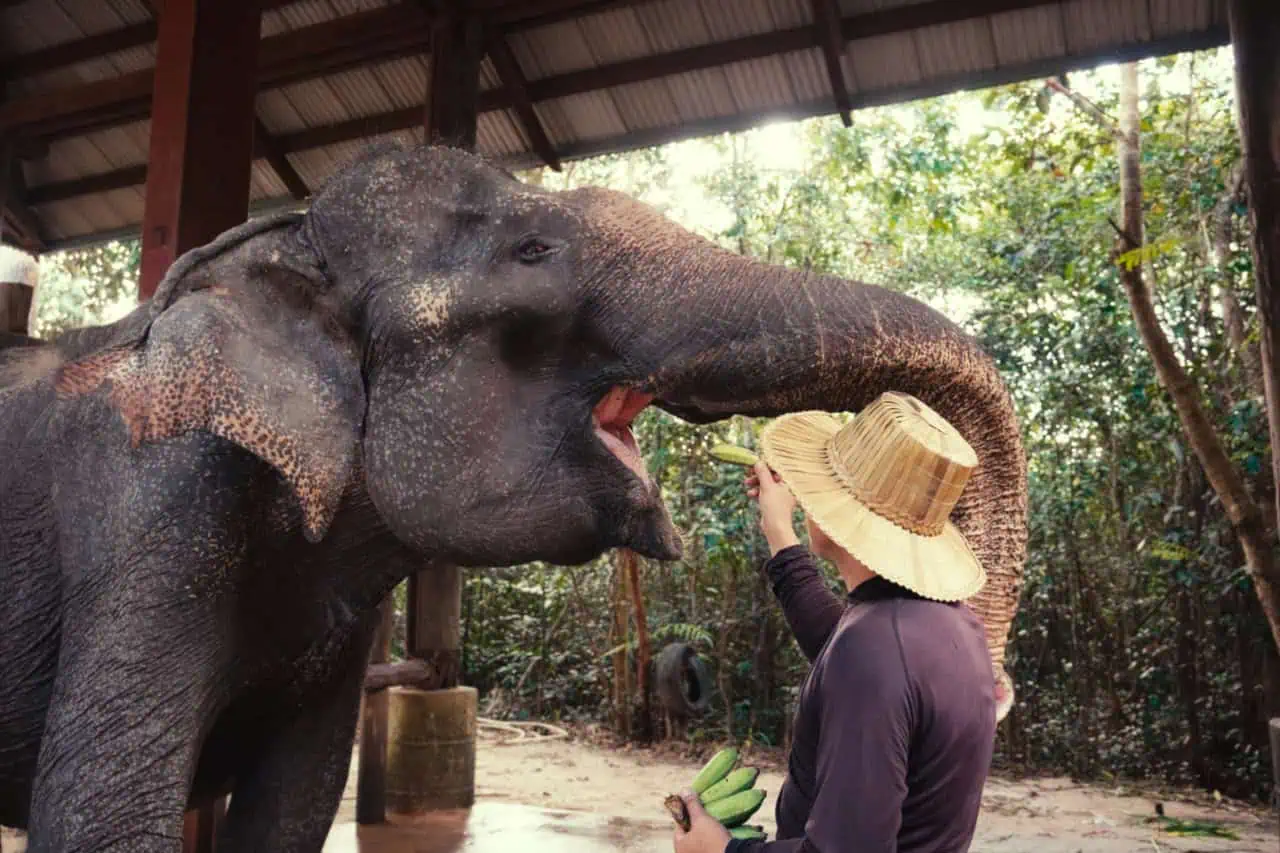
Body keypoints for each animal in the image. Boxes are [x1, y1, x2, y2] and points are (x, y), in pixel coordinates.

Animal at [0, 142, 1027, 853]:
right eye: (533, 250)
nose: (999, 692)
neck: (282, 243)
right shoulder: (156, 524)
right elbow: (101, 814)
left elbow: (292, 809)